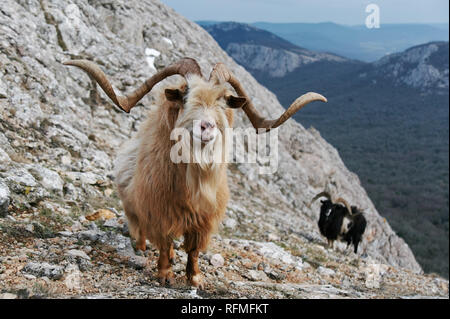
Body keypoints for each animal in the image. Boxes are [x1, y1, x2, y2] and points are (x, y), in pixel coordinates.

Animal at [63, 57, 326, 290]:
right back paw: (141, 248)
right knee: (142, 230)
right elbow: (165, 242)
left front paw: (195, 279)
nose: (206, 127)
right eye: (186, 97)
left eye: (224, 100)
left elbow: (193, 250)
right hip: (133, 209)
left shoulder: (203, 219)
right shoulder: (160, 211)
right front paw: (165, 276)